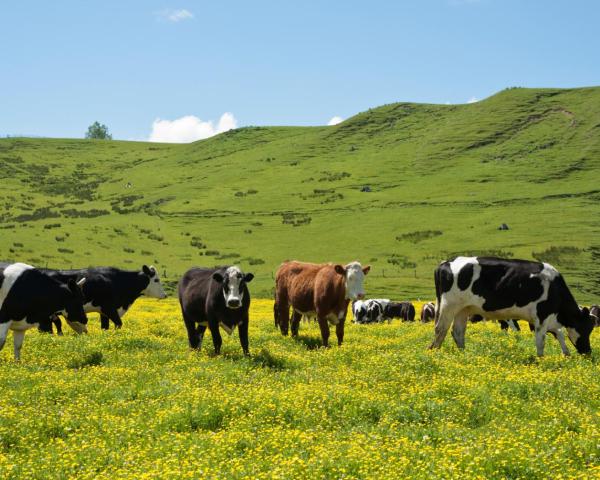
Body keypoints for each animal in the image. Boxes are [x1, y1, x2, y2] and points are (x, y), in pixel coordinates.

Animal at [428, 255, 592, 356]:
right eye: (585, 329)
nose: (588, 352)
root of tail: (446, 262)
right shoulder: (542, 315)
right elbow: (541, 341)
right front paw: (540, 359)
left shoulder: (546, 319)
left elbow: (559, 333)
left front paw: (566, 354)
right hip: (449, 305)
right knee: (440, 329)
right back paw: (435, 352)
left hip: (463, 309)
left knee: (457, 332)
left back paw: (464, 354)